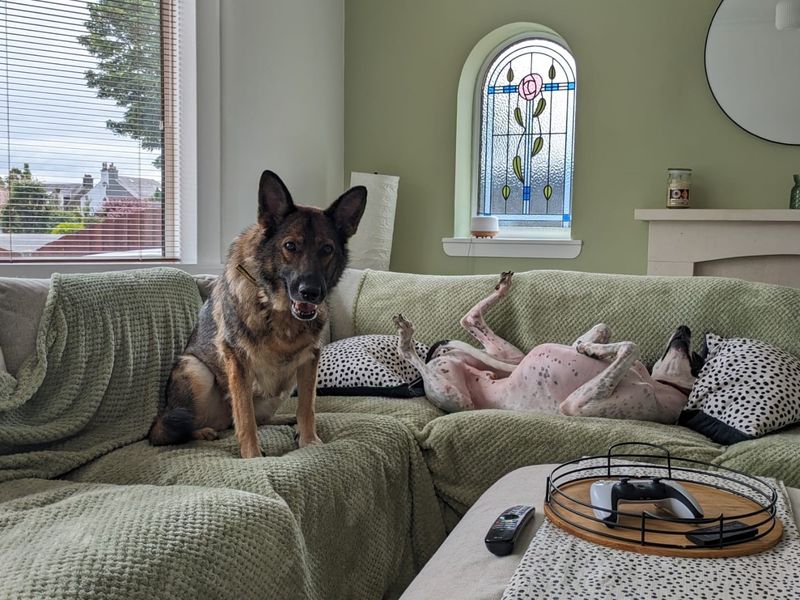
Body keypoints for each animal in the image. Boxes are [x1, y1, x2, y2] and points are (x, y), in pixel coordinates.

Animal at [148, 171, 368, 458]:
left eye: (327, 249)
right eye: (290, 246)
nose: (311, 293)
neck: (279, 312)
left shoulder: (309, 361)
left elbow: (307, 407)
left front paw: (309, 440)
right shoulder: (238, 362)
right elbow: (245, 416)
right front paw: (252, 455)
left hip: (284, 388)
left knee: (263, 418)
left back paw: (287, 421)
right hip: (196, 371)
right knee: (178, 428)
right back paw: (204, 431)